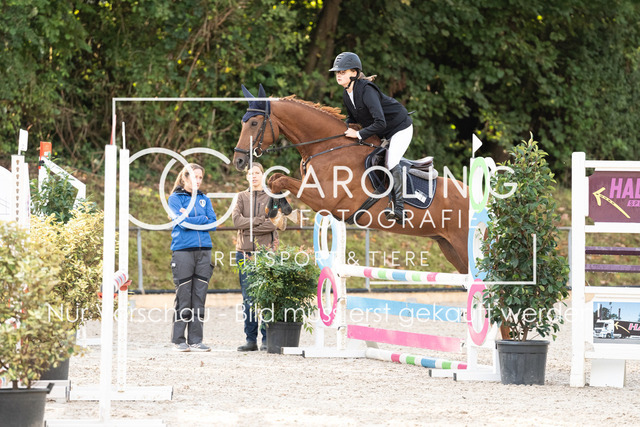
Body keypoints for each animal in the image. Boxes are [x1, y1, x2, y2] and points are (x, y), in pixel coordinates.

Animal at [233, 85, 469, 274]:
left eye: (254, 123)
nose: (239, 160)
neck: (327, 147)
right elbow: (275, 178)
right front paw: (277, 210)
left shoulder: (323, 198)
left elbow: (279, 180)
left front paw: (277, 211)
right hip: (447, 246)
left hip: (462, 244)